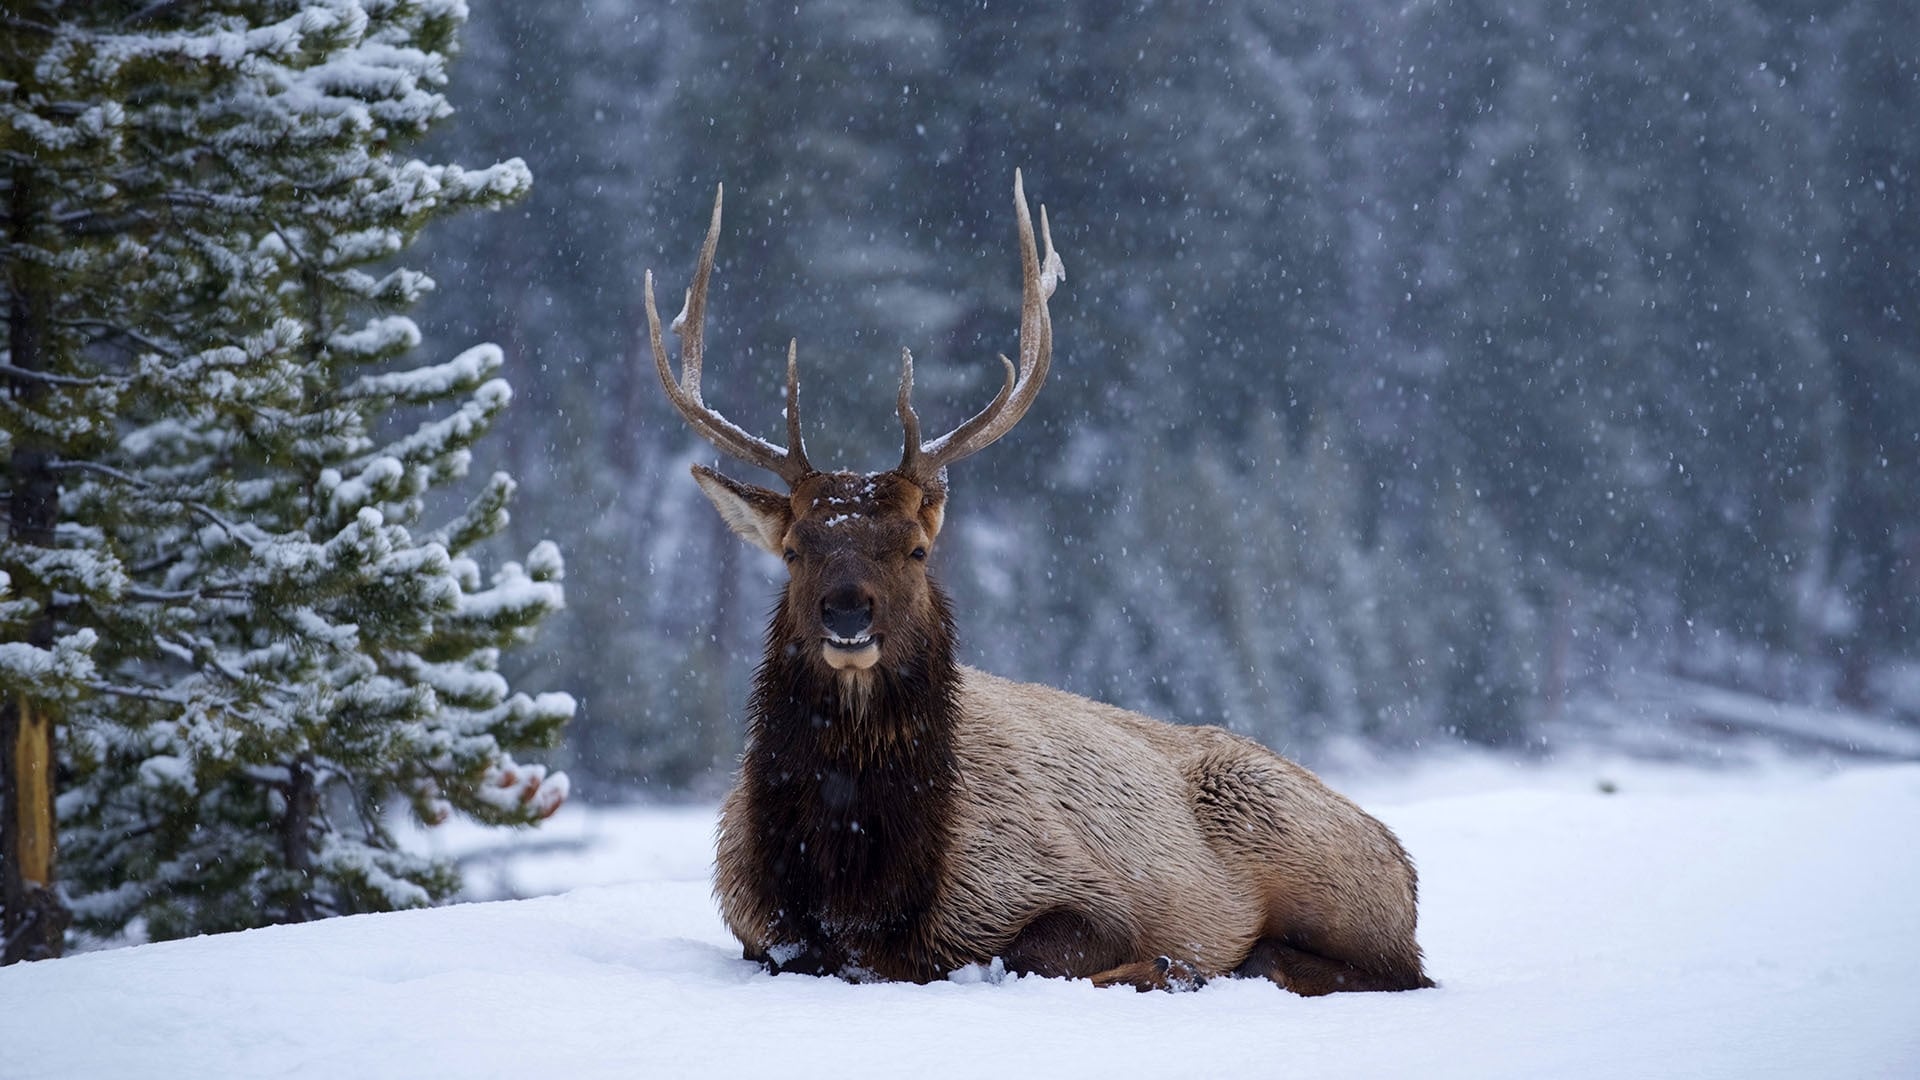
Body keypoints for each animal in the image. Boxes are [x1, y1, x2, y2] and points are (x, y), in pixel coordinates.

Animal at [652, 170, 1436, 991]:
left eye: (916, 549)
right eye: (796, 549)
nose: (846, 612)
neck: (860, 892)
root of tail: (1404, 866)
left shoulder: (1063, 881)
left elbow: (1037, 952)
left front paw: (1166, 963)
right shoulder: (754, 917)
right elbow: (785, 951)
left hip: (1313, 859)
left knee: (1375, 968)